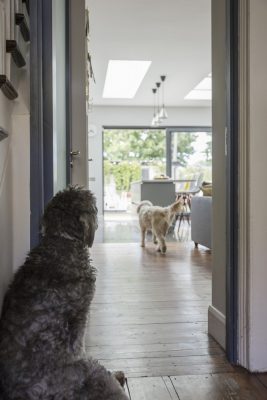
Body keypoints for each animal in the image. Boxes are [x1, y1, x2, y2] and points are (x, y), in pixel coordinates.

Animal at [0, 188, 129, 400]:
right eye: (94, 207)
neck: (62, 238)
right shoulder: (80, 316)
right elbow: (79, 345)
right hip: (93, 370)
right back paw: (117, 376)